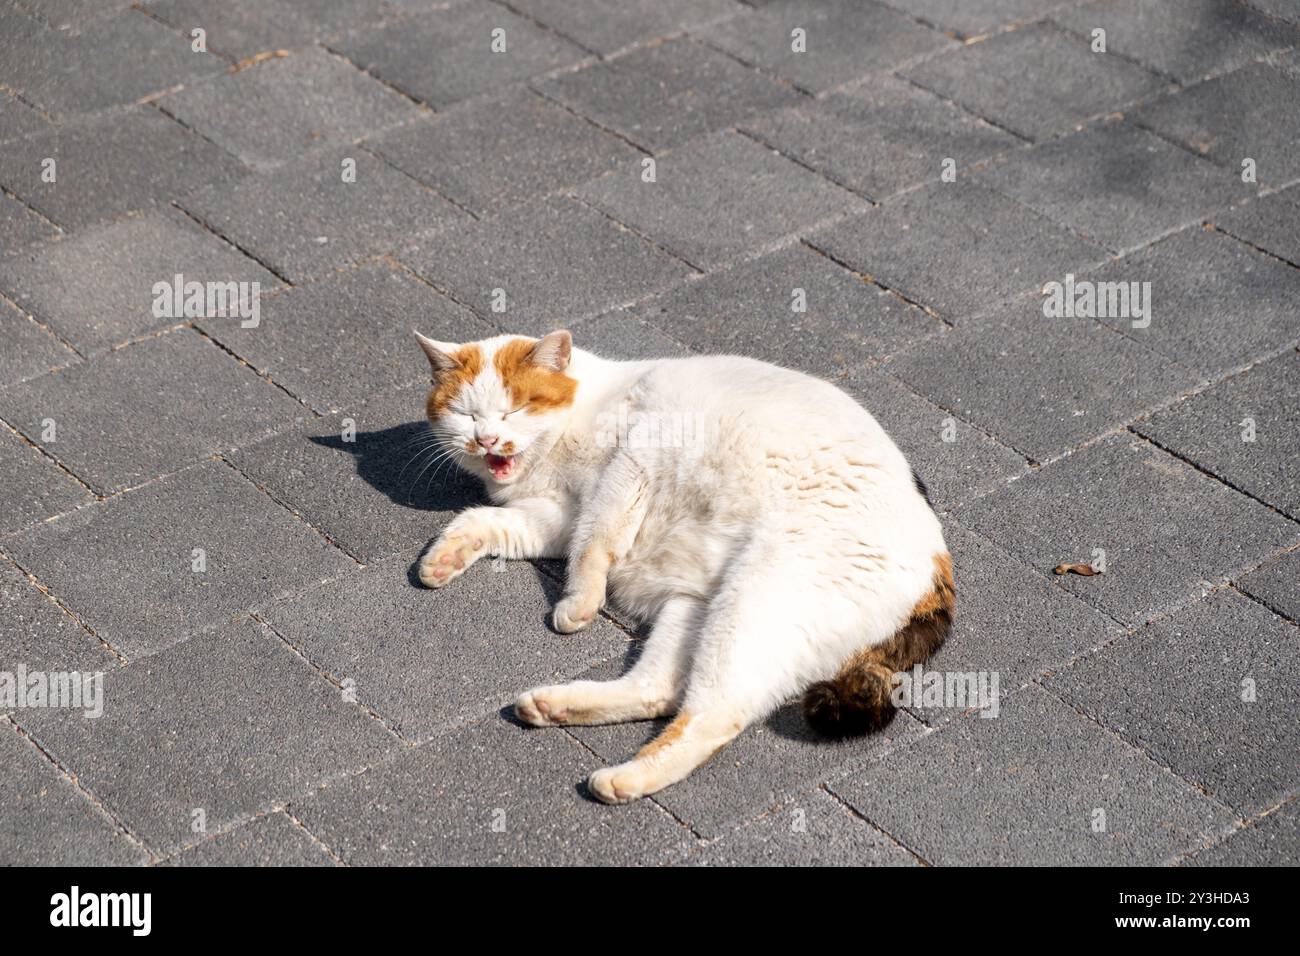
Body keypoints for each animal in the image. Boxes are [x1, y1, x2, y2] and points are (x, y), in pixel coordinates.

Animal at [416, 329, 956, 806]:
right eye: (465, 414)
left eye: (515, 407)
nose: (487, 440)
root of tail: (938, 566)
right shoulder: (558, 516)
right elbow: (488, 521)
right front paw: (444, 558)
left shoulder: (632, 462)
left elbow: (595, 539)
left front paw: (578, 604)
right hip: (694, 607)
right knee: (659, 690)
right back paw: (554, 706)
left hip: (751, 603)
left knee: (712, 717)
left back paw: (624, 779)